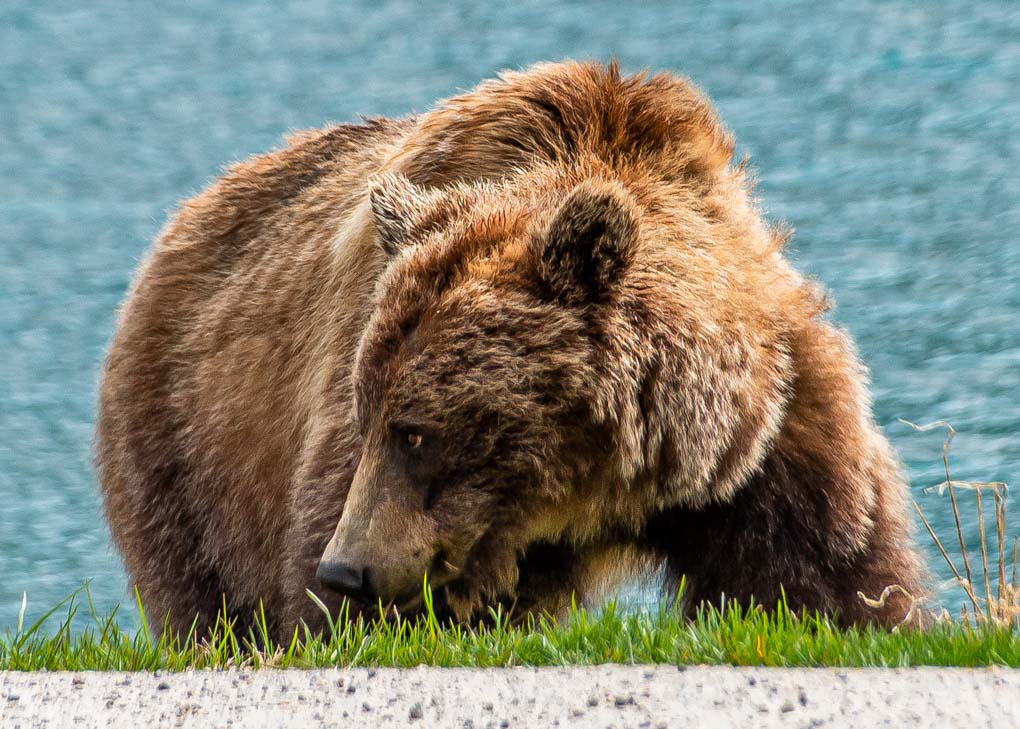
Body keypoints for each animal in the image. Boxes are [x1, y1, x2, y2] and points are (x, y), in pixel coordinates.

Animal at [96, 60, 924, 641]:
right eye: (372, 423)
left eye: (415, 432)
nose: (348, 569)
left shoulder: (762, 437)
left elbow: (829, 576)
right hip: (186, 459)